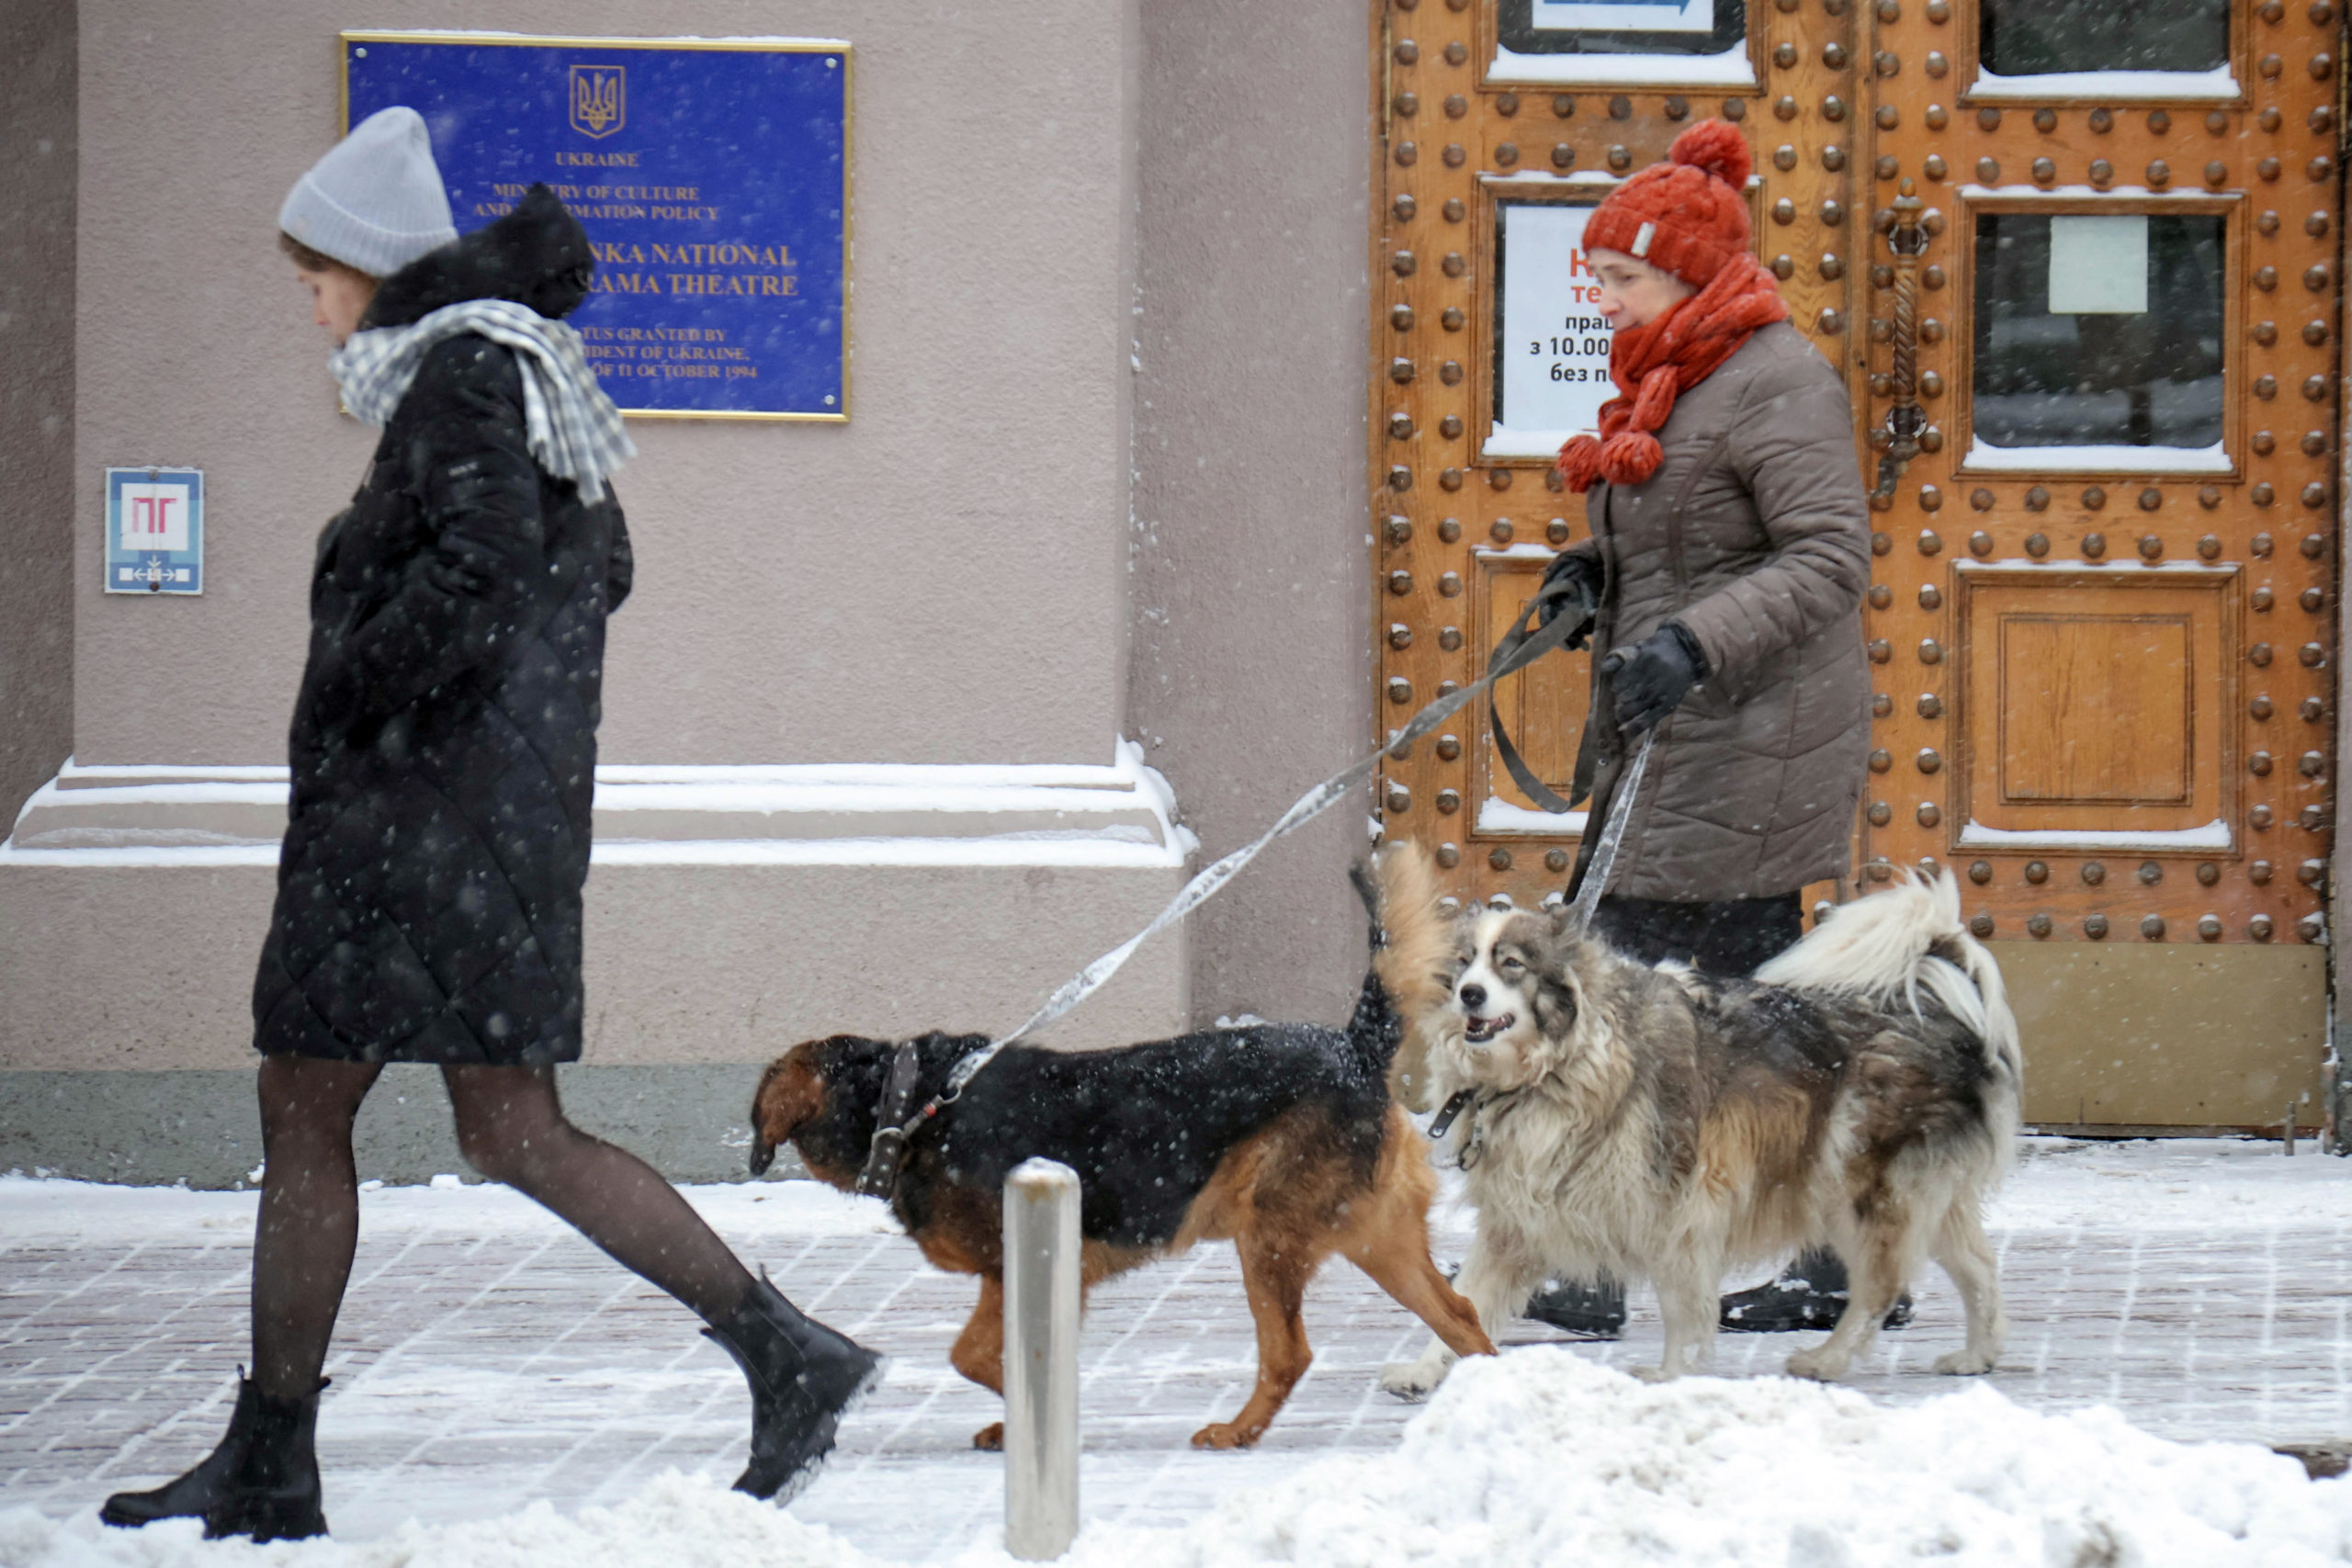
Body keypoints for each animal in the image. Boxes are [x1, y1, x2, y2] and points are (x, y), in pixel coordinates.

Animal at [742, 888, 1496, 1457]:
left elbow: (975, 1356)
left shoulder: (1028, 1262)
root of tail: (1353, 1046)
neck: (914, 1104)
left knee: (1290, 1354)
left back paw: (1237, 1429)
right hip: (1375, 1237)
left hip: (1270, 1239)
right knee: (1460, 1317)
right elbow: (989, 1355)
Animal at [1374, 851, 2022, 1392]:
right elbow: (1465, 1301)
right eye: (1463, 965)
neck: (1553, 1069)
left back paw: (1828, 1359)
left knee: (1880, 1288)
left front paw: (1671, 1374)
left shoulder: (1678, 1201)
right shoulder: (1521, 1214)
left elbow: (1682, 1303)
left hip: (1854, 1183)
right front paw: (1427, 1368)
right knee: (1979, 1267)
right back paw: (1978, 1354)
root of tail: (1936, 1004)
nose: (1469, 995)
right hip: (1918, 1188)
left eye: (1510, 966)